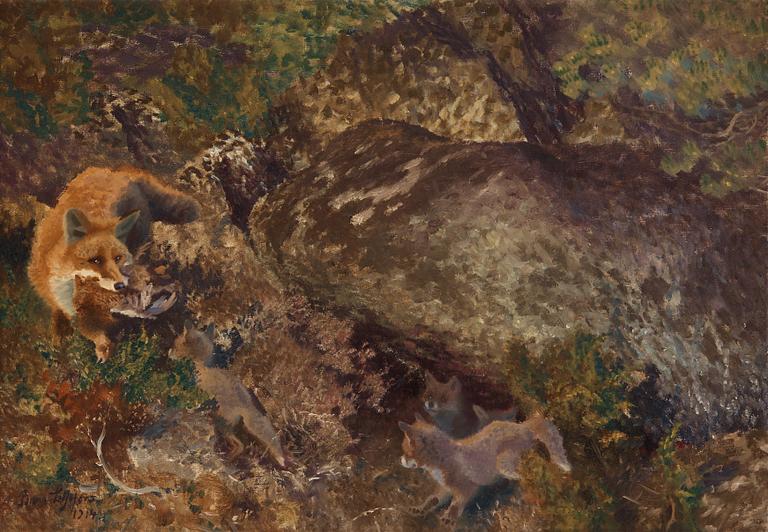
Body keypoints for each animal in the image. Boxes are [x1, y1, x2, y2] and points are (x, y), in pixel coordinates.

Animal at [171, 320, 287, 468]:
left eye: (176, 345)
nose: (169, 352)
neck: (203, 367)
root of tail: (248, 406)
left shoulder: (197, 395)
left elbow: (191, 405)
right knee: (242, 445)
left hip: (222, 424)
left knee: (241, 446)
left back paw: (226, 460)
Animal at [398, 413, 571, 527]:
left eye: (406, 452)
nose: (400, 459)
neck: (443, 462)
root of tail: (521, 426)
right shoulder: (445, 488)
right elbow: (432, 499)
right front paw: (419, 509)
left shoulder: (467, 487)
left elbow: (457, 503)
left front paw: (450, 516)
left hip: (504, 465)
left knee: (524, 476)